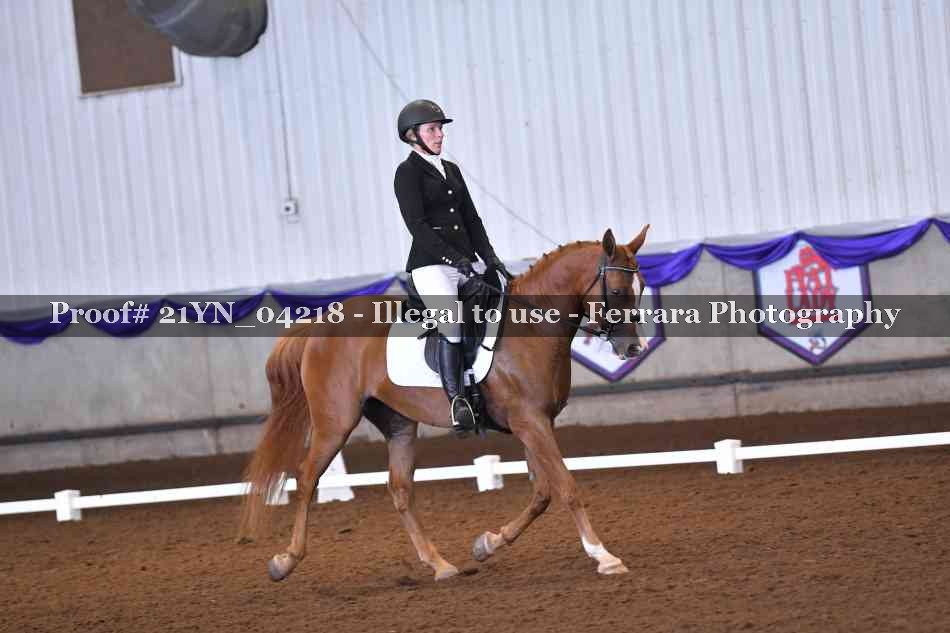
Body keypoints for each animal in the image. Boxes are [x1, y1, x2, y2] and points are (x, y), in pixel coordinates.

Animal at [239, 226, 650, 582]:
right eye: (617, 290)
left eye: (642, 286)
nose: (633, 348)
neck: (532, 325)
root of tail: (320, 324)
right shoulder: (529, 422)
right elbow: (566, 487)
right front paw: (604, 556)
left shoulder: (536, 422)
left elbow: (542, 494)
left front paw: (488, 543)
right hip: (334, 422)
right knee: (307, 478)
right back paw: (285, 561)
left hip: (399, 424)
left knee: (400, 489)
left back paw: (440, 565)